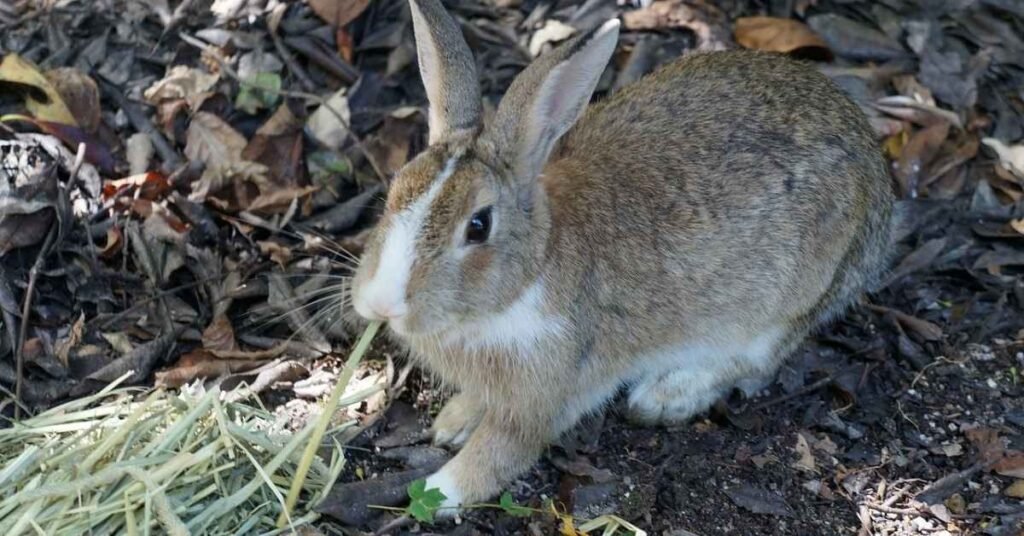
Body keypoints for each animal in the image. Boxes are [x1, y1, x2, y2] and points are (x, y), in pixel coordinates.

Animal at [349, 0, 895, 514]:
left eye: (478, 226)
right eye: (394, 191)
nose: (381, 304)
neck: (527, 275)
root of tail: (878, 181)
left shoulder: (543, 395)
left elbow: (503, 451)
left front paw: (441, 490)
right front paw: (452, 422)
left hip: (784, 299)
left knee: (756, 361)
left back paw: (666, 396)